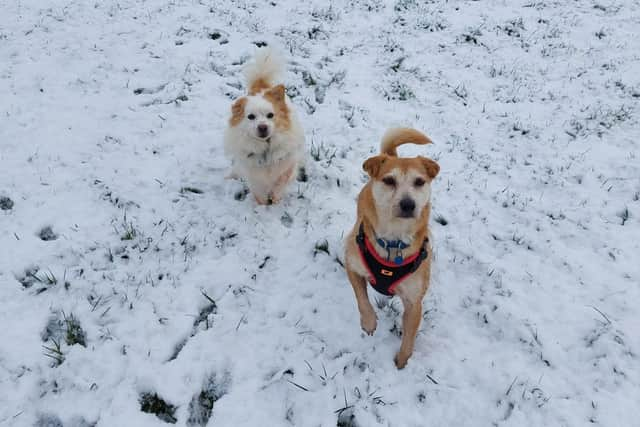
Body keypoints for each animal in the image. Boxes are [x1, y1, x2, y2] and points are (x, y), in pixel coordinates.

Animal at [225, 47, 304, 205]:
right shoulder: (254, 176)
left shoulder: (287, 166)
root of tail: (261, 86)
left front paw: (275, 200)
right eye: (251, 117)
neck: (265, 148)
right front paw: (262, 206)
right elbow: (259, 193)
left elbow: (280, 184)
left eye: (270, 115)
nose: (262, 127)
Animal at [344, 129, 440, 370]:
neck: (394, 242)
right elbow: (362, 298)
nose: (408, 204)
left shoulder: (414, 302)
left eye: (419, 181)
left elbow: (410, 335)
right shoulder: (352, 264)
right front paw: (369, 322)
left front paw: (402, 361)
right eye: (389, 180)